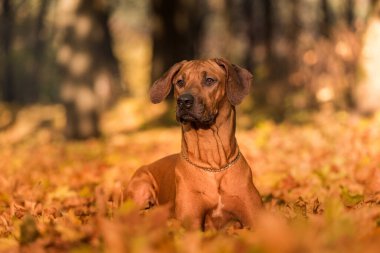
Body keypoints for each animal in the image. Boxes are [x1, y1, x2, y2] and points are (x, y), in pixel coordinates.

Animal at [126, 57, 262, 229]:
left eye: (209, 80)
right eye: (180, 82)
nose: (183, 101)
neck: (213, 165)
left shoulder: (256, 217)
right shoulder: (191, 220)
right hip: (140, 185)